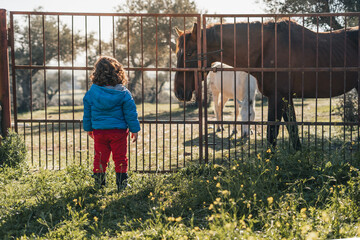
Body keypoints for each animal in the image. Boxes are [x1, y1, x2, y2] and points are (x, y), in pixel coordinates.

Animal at [174, 20, 358, 150]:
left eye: (189, 53)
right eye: (177, 53)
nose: (179, 91)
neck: (266, 49)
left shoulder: (277, 97)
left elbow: (272, 134)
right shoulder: (285, 98)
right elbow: (293, 131)